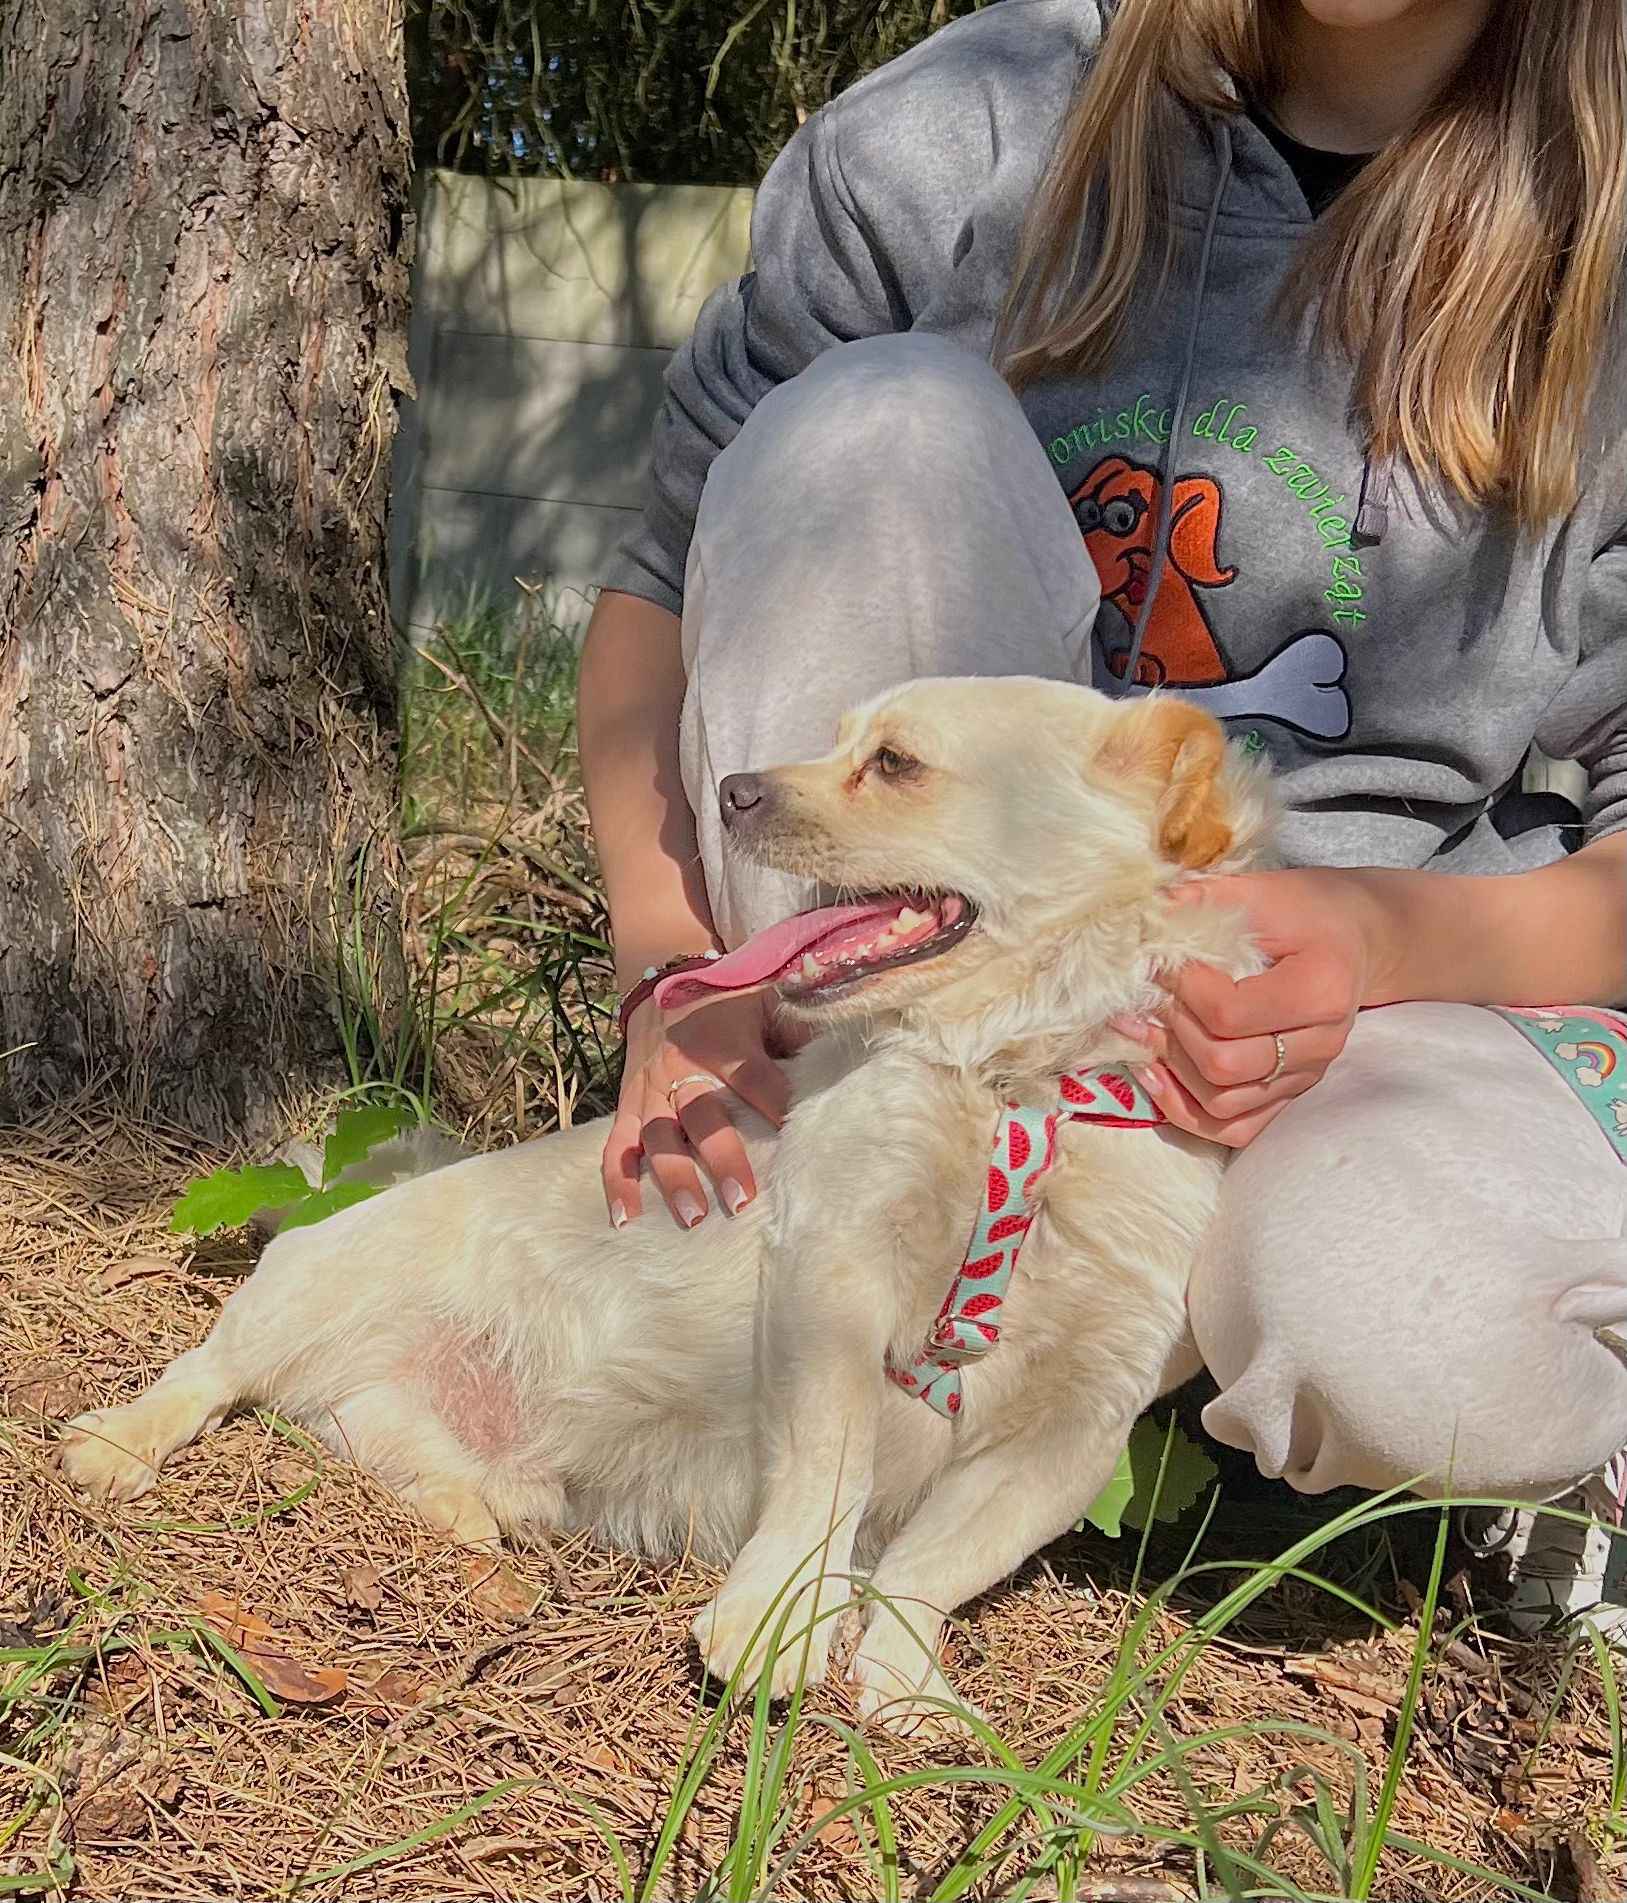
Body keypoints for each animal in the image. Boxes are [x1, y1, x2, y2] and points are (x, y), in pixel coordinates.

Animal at [57, 677, 1271, 1735]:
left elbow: (935, 1566)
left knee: (369, 1429)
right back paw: (115, 1443)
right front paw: (777, 1622)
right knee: (207, 1374)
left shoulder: (1074, 1428)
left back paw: (461, 1506)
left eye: (894, 762)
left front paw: (907, 1687)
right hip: (308, 1293)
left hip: (472, 1448)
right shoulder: (831, 1288)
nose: (733, 788)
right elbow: (827, 1477)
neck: (1016, 1090)